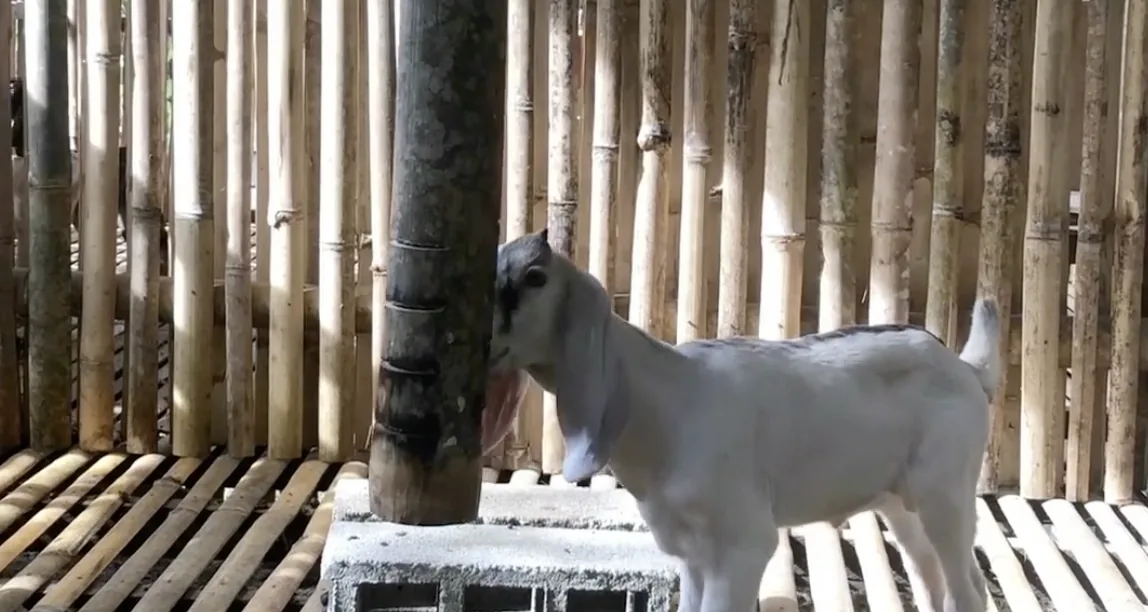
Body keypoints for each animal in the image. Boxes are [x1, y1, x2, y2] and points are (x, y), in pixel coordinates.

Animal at [482, 229, 999, 612]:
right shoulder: (691, 550)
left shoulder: (743, 543)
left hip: (945, 492)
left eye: (534, 276)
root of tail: (968, 369)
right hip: (902, 503)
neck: (667, 401)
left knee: (967, 592)